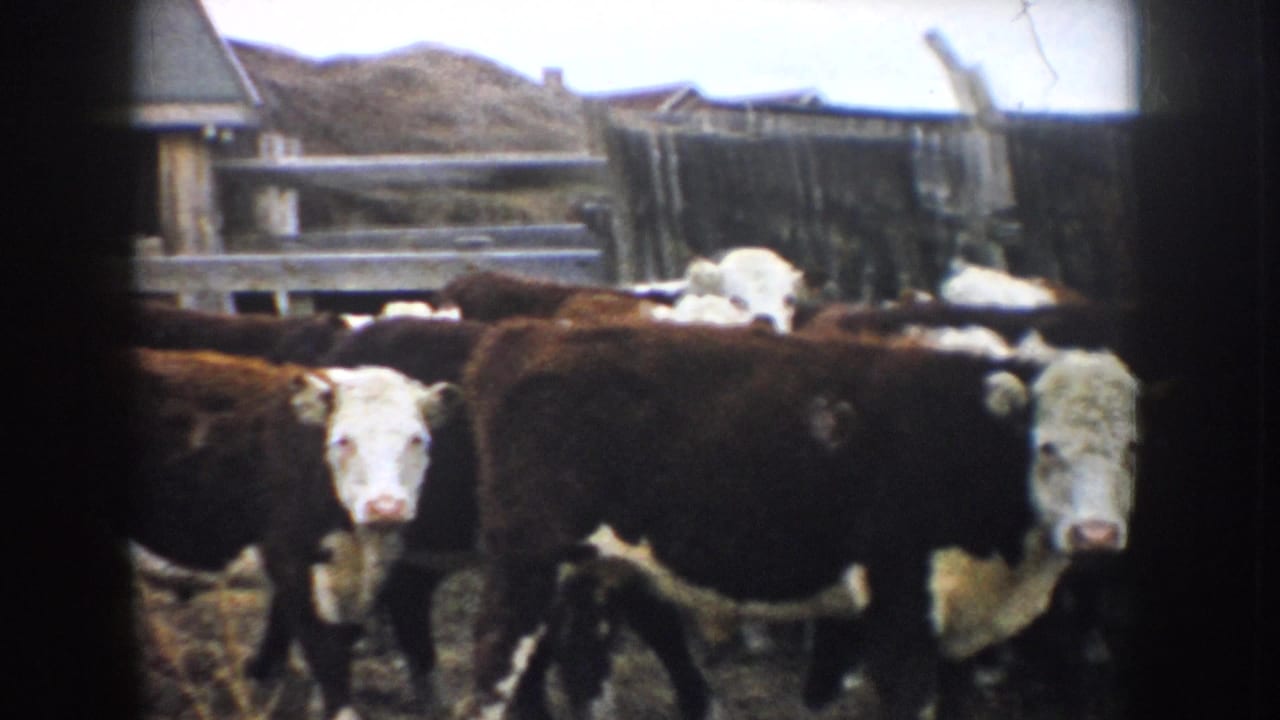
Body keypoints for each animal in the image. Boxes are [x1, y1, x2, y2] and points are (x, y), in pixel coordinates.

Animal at [456, 319, 1138, 720]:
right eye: (1046, 447)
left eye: (1132, 447)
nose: (1097, 535)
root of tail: (528, 332)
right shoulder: (899, 610)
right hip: (527, 560)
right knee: (494, 672)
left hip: (595, 571)